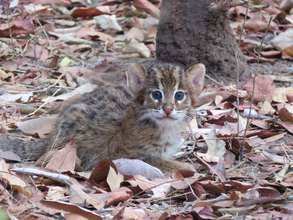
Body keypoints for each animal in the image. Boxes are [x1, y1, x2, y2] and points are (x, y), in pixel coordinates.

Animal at [0, 62, 205, 172]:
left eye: (179, 95)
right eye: (156, 94)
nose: (168, 109)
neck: (164, 126)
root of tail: (50, 138)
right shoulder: (123, 154)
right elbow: (156, 160)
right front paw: (185, 167)